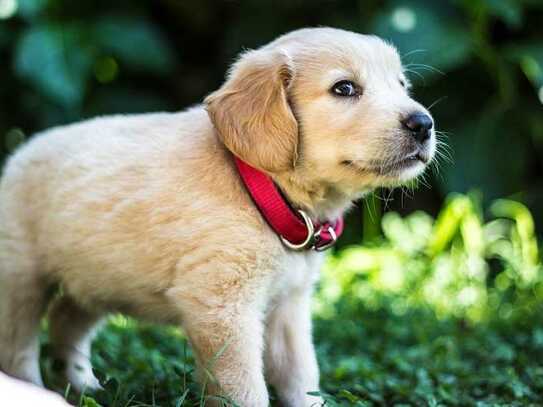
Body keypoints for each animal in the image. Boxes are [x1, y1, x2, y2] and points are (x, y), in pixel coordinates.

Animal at [0, 27, 434, 406]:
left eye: (402, 85)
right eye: (344, 88)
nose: (424, 124)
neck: (261, 188)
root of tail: (19, 153)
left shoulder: (289, 307)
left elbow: (301, 374)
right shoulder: (222, 308)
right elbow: (245, 389)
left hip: (97, 279)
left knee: (66, 319)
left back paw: (84, 385)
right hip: (20, 278)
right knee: (18, 347)